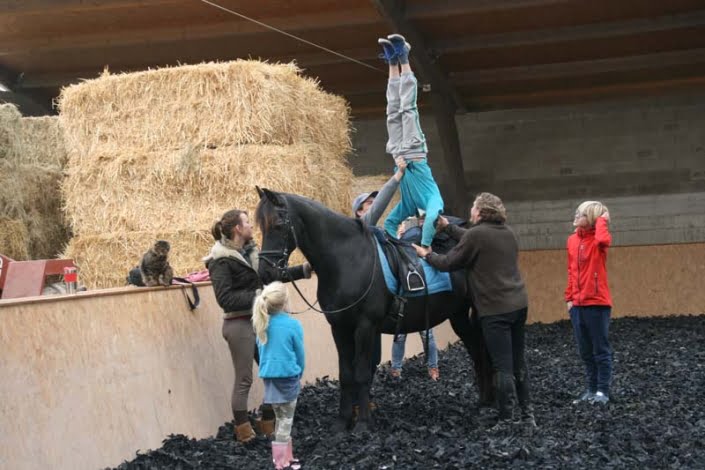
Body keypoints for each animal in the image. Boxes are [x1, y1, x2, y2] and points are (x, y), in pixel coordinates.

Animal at [256, 189, 492, 432]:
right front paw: (342, 422)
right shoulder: (339, 328)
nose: (265, 271)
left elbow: (361, 373)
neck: (347, 259)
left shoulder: (365, 326)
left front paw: (362, 423)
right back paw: (484, 400)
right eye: (260, 225)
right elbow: (346, 374)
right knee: (477, 350)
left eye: (278, 225)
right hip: (459, 315)